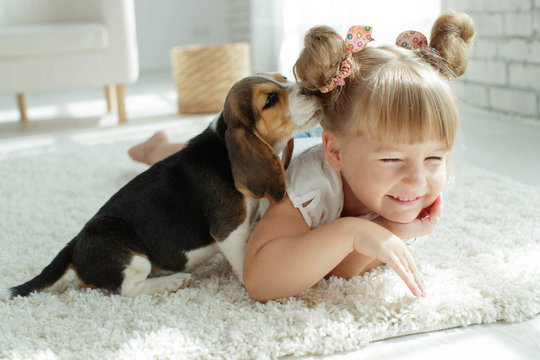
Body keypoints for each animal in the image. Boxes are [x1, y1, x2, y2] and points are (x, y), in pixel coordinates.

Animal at [8, 74, 320, 298]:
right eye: (270, 99)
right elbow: (243, 259)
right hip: (131, 255)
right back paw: (172, 282)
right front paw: (253, 278)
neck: (223, 146)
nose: (314, 89)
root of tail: (73, 244)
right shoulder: (229, 229)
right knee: (128, 290)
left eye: (283, 77)